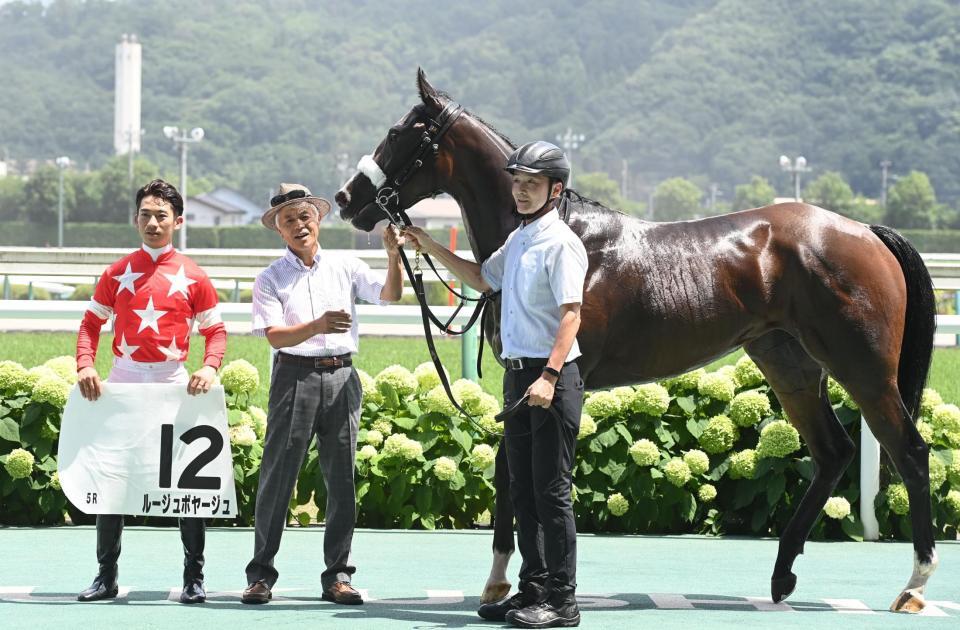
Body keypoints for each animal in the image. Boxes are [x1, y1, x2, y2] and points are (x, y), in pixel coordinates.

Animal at [334, 68, 938, 613]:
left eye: (400, 132)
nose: (345, 198)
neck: (553, 233)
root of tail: (864, 231)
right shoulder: (518, 386)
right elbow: (512, 473)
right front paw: (506, 585)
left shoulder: (547, 386)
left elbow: (522, 477)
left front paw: (510, 585)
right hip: (788, 365)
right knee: (833, 450)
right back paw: (782, 576)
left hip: (864, 370)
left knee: (908, 450)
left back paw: (912, 586)